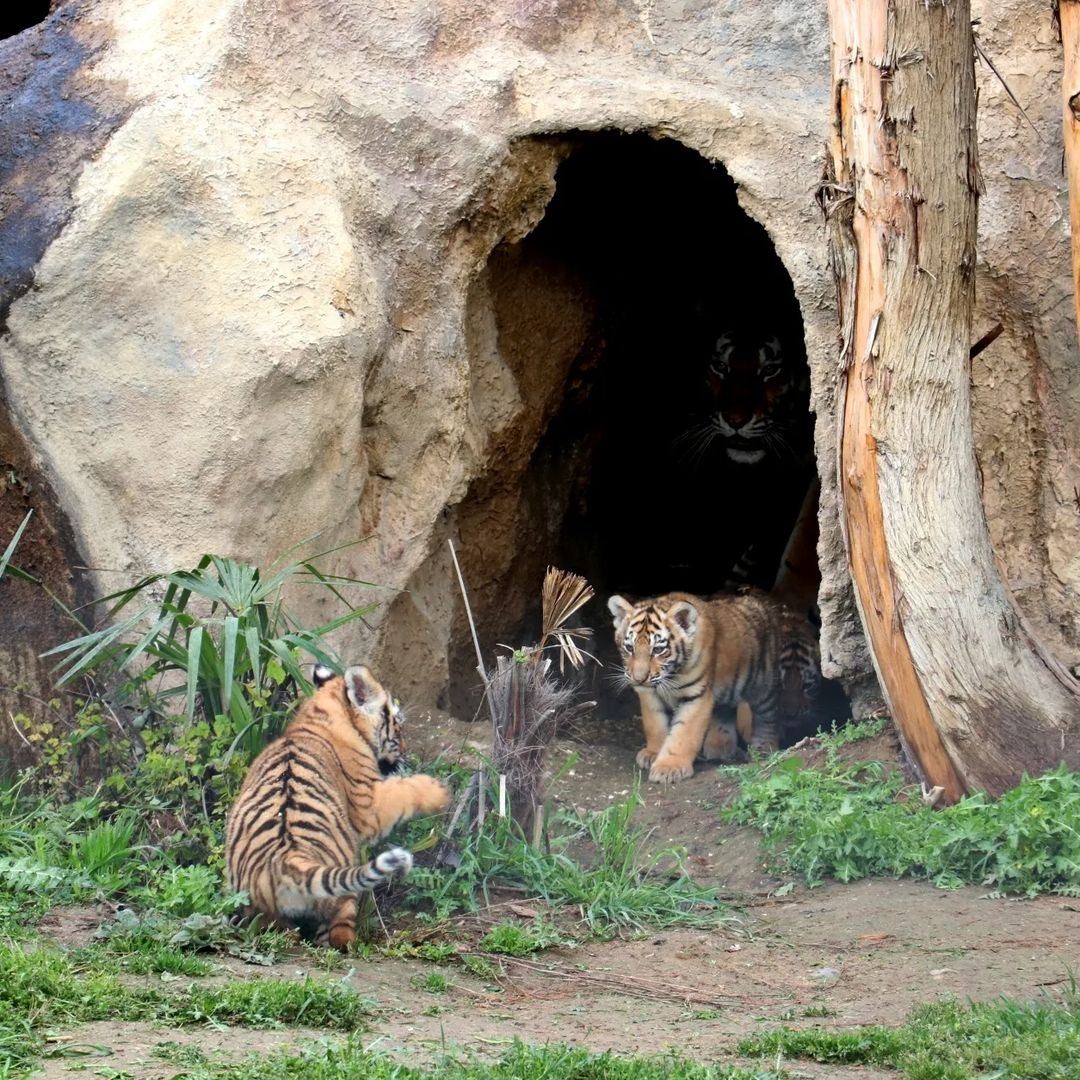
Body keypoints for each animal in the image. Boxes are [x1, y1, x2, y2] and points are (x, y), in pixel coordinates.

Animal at [225, 660, 449, 950]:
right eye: (397, 725)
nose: (405, 751)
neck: (318, 717)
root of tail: (288, 858)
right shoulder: (368, 805)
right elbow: (403, 789)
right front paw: (439, 792)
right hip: (343, 886)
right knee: (337, 932)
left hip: (257, 908)